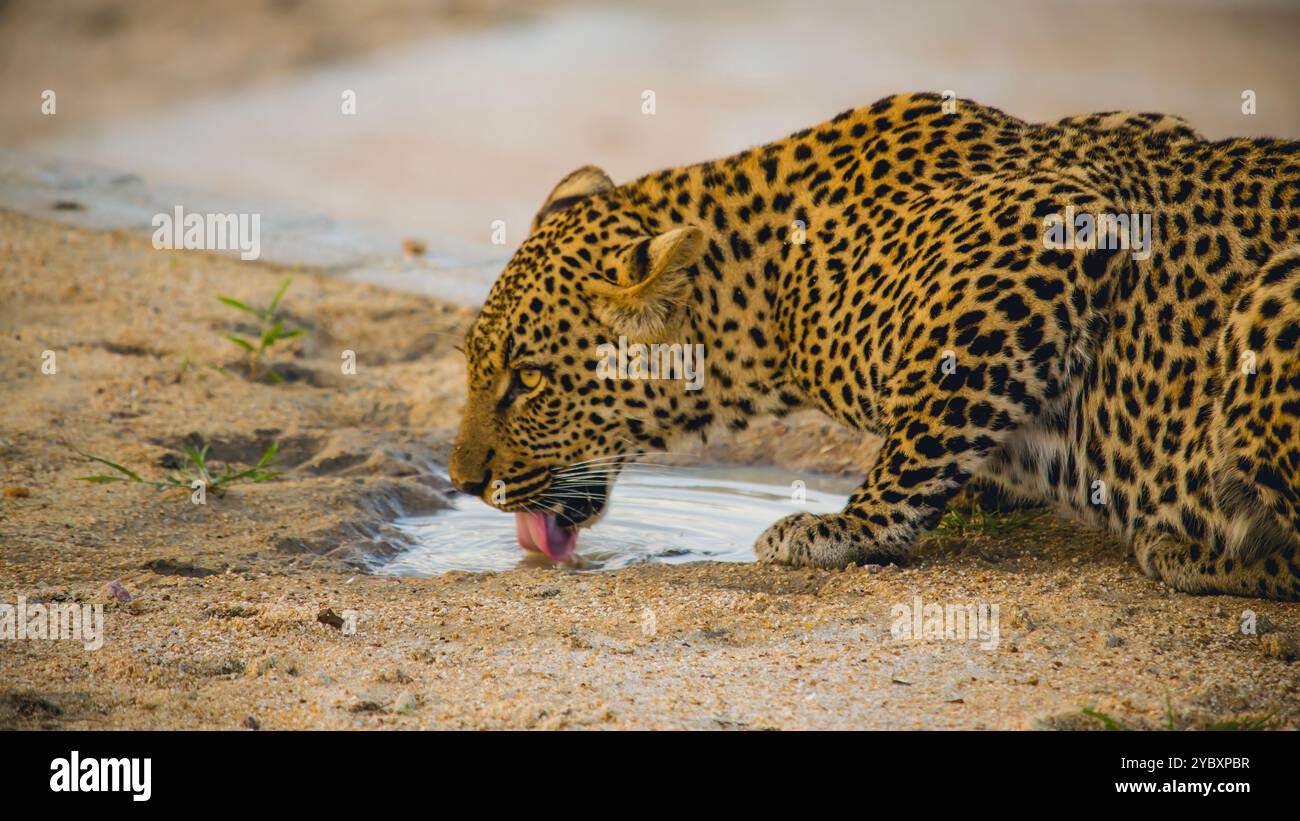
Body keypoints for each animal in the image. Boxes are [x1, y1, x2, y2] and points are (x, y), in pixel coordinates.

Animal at [449, 92, 1300, 600]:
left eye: (526, 379)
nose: (462, 482)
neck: (768, 286)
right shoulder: (1142, 127)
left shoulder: (1058, 223)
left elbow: (924, 429)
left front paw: (843, 528)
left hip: (1273, 301)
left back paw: (1194, 549)